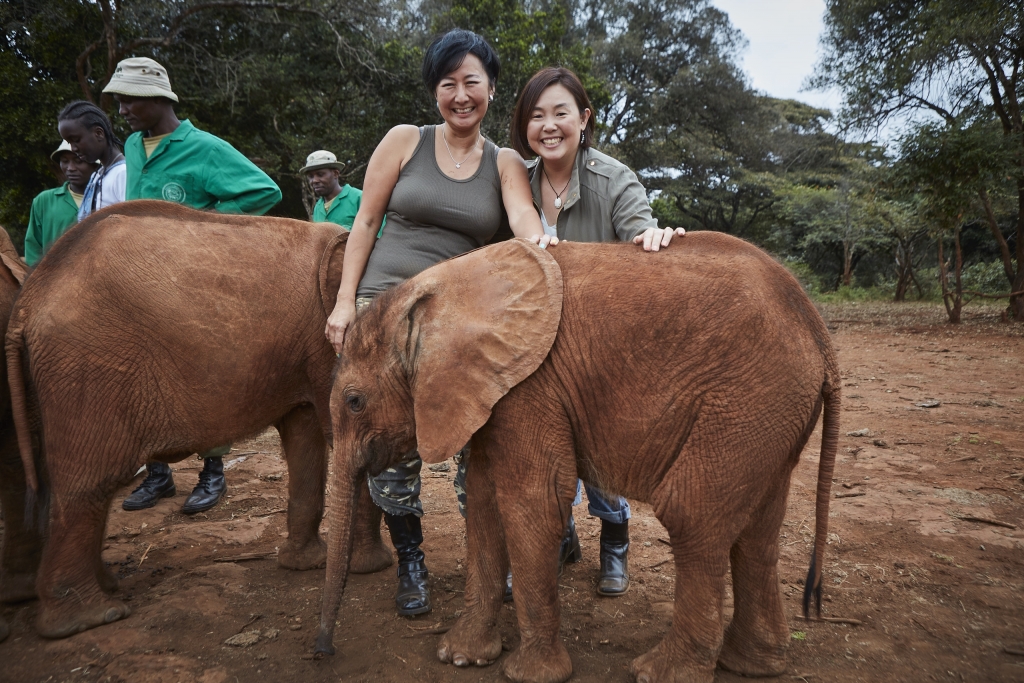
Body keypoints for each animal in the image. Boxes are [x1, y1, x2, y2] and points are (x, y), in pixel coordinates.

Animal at [4, 200, 391, 638]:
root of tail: (28, 299)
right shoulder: (331, 347)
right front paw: (372, 568)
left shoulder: (308, 352)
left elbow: (305, 436)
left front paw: (305, 564)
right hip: (86, 366)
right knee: (88, 482)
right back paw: (92, 618)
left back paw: (100, 590)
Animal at [317, 235, 839, 683]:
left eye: (355, 402)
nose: (325, 651)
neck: (438, 289)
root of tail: (818, 331)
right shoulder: (494, 391)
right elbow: (484, 502)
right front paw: (461, 657)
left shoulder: (529, 387)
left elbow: (532, 503)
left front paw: (530, 675)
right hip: (767, 414)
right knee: (758, 532)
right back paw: (752, 665)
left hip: (746, 402)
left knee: (692, 514)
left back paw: (657, 672)